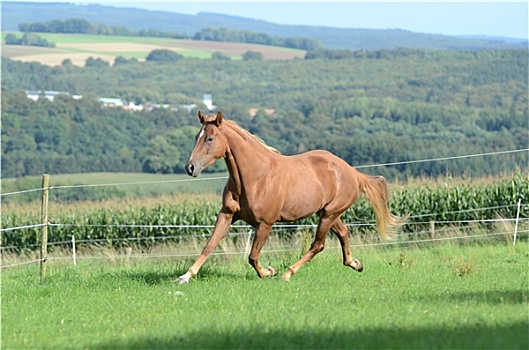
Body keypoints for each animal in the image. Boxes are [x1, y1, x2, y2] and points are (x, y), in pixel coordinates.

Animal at [176, 112, 404, 284]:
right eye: (196, 136)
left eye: (210, 138)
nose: (190, 167)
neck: (255, 177)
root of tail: (352, 172)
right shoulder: (227, 214)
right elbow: (210, 245)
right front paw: (185, 277)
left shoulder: (265, 223)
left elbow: (252, 256)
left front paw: (270, 271)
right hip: (328, 213)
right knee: (343, 233)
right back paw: (355, 264)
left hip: (329, 214)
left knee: (317, 245)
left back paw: (286, 274)